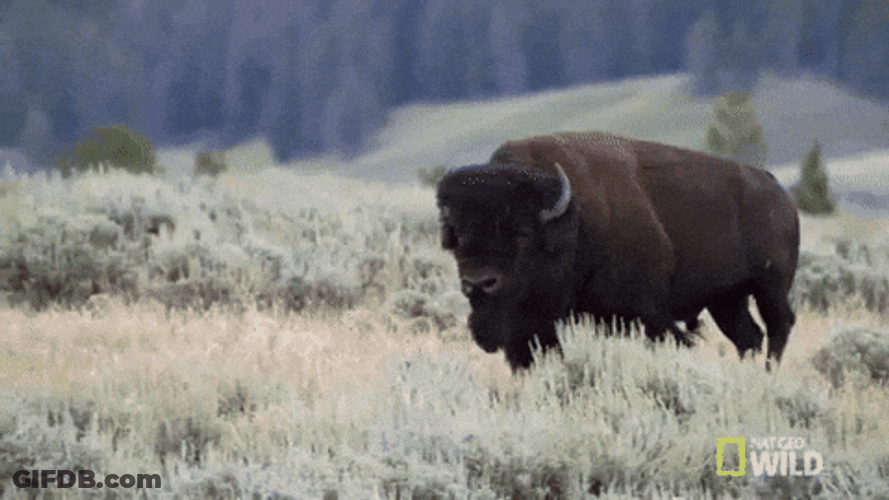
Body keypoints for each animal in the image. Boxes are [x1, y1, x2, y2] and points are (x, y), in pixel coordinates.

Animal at [436, 132, 800, 371]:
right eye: (457, 237)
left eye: (522, 233)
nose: (479, 283)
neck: (575, 221)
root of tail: (775, 188)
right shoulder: (534, 330)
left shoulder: (645, 314)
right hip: (726, 300)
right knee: (749, 337)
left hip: (770, 287)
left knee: (778, 326)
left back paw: (769, 375)